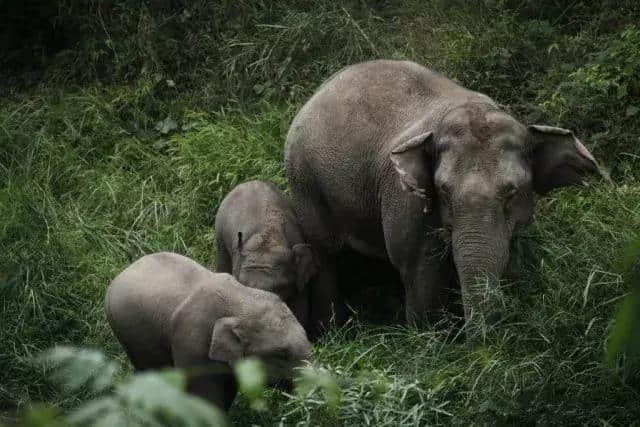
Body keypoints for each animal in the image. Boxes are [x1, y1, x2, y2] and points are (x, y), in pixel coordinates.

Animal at [286, 60, 608, 342]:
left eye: (512, 192)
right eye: (442, 191)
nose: (484, 349)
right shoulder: (404, 201)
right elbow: (420, 271)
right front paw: (431, 343)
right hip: (306, 184)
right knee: (326, 257)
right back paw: (333, 333)